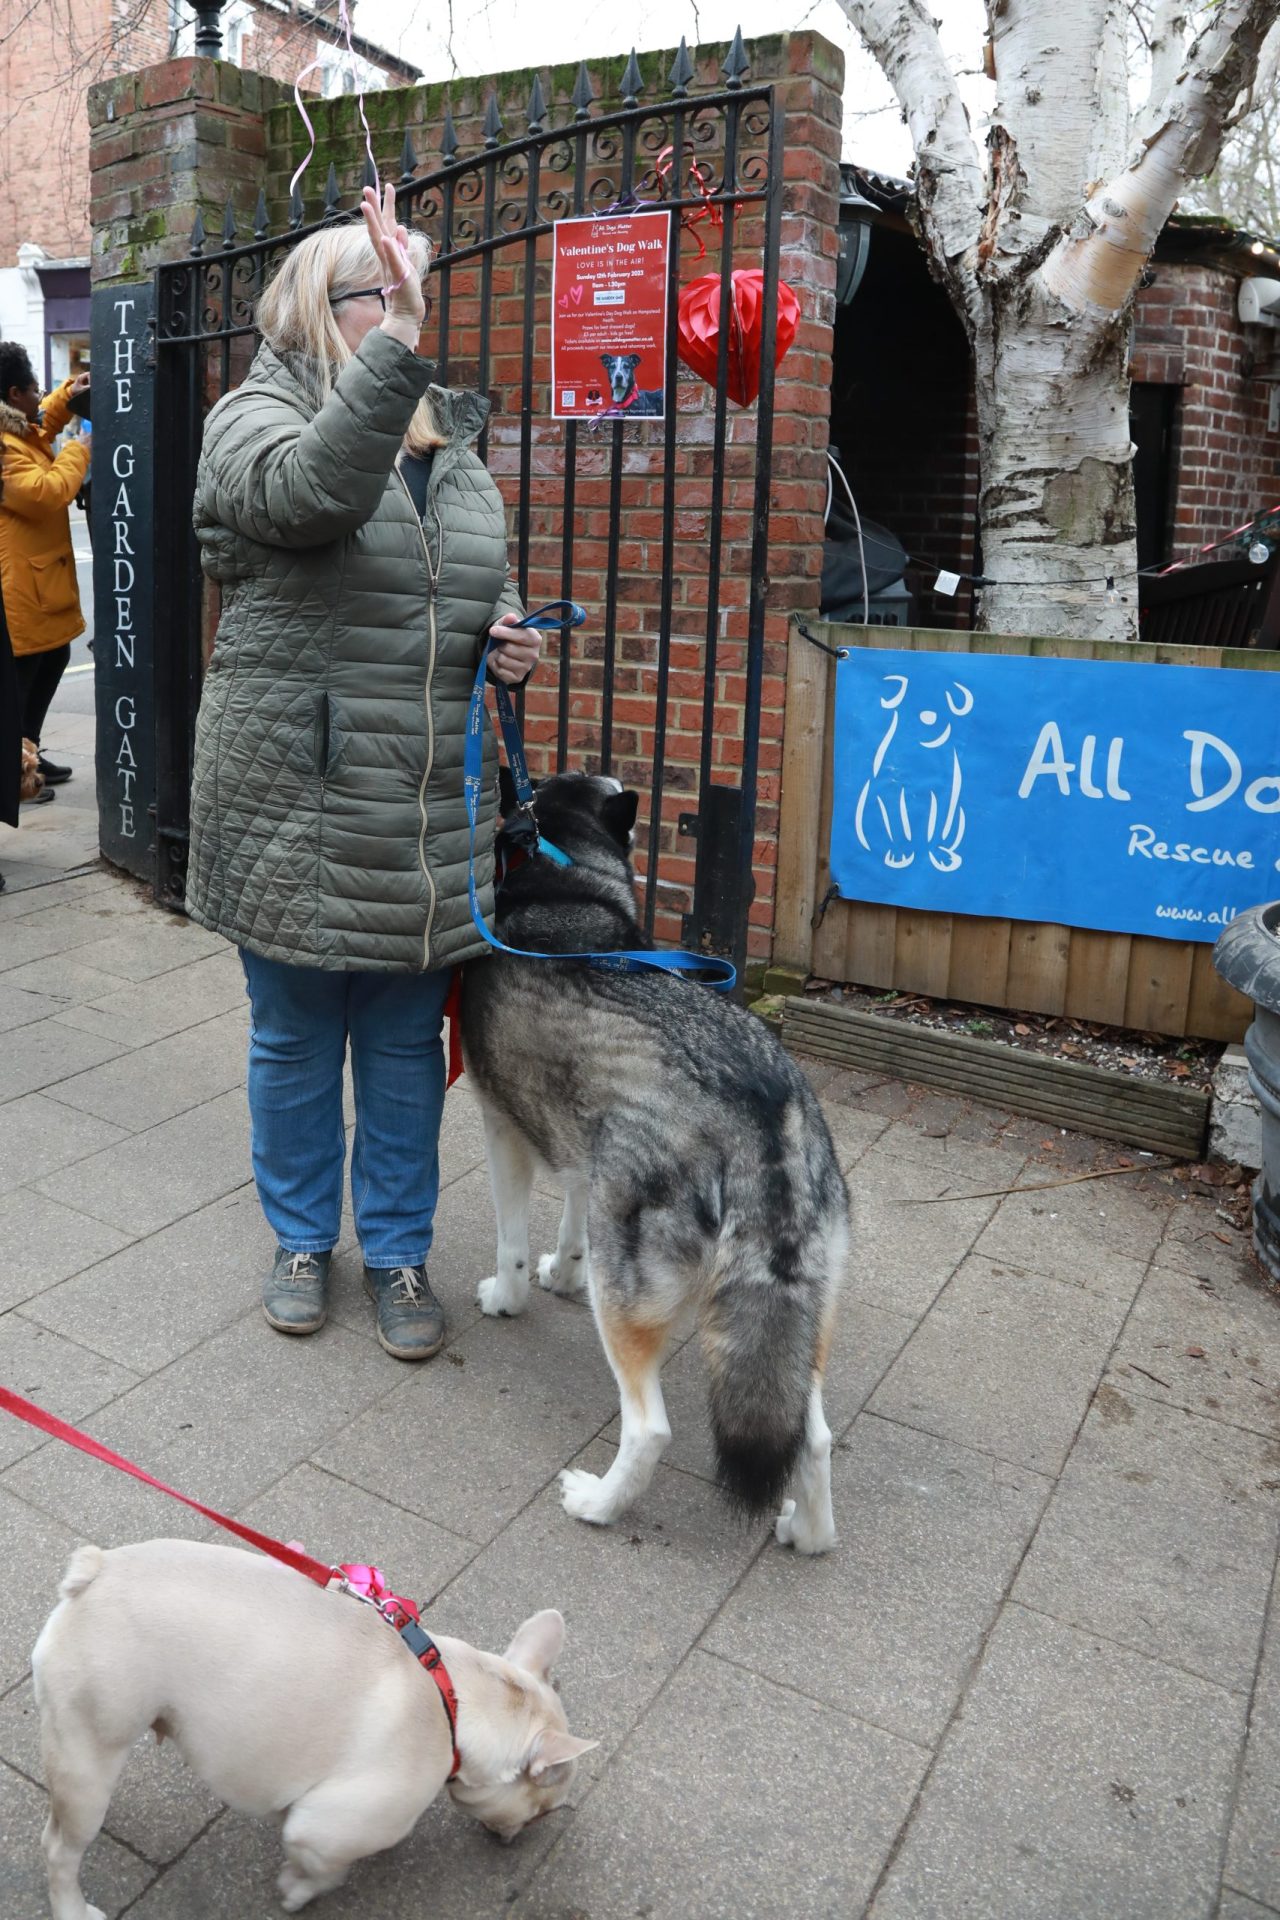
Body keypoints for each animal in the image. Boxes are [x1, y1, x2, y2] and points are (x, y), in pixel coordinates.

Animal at [32, 1539, 596, 1918]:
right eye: (543, 1810)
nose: (517, 1837)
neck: (453, 1700)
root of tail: (98, 1569)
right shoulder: (326, 1827)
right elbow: (327, 1871)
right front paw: (295, 1890)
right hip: (92, 1746)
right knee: (59, 1850)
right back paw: (74, 1908)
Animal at [462, 772, 848, 1554]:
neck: (566, 880)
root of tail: (765, 1114)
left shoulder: (502, 1126)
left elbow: (511, 1245)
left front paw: (508, 1298)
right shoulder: (585, 1161)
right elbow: (571, 1230)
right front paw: (562, 1275)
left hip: (629, 1309)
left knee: (650, 1429)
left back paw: (598, 1504)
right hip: (801, 1325)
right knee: (814, 1438)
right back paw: (806, 1533)